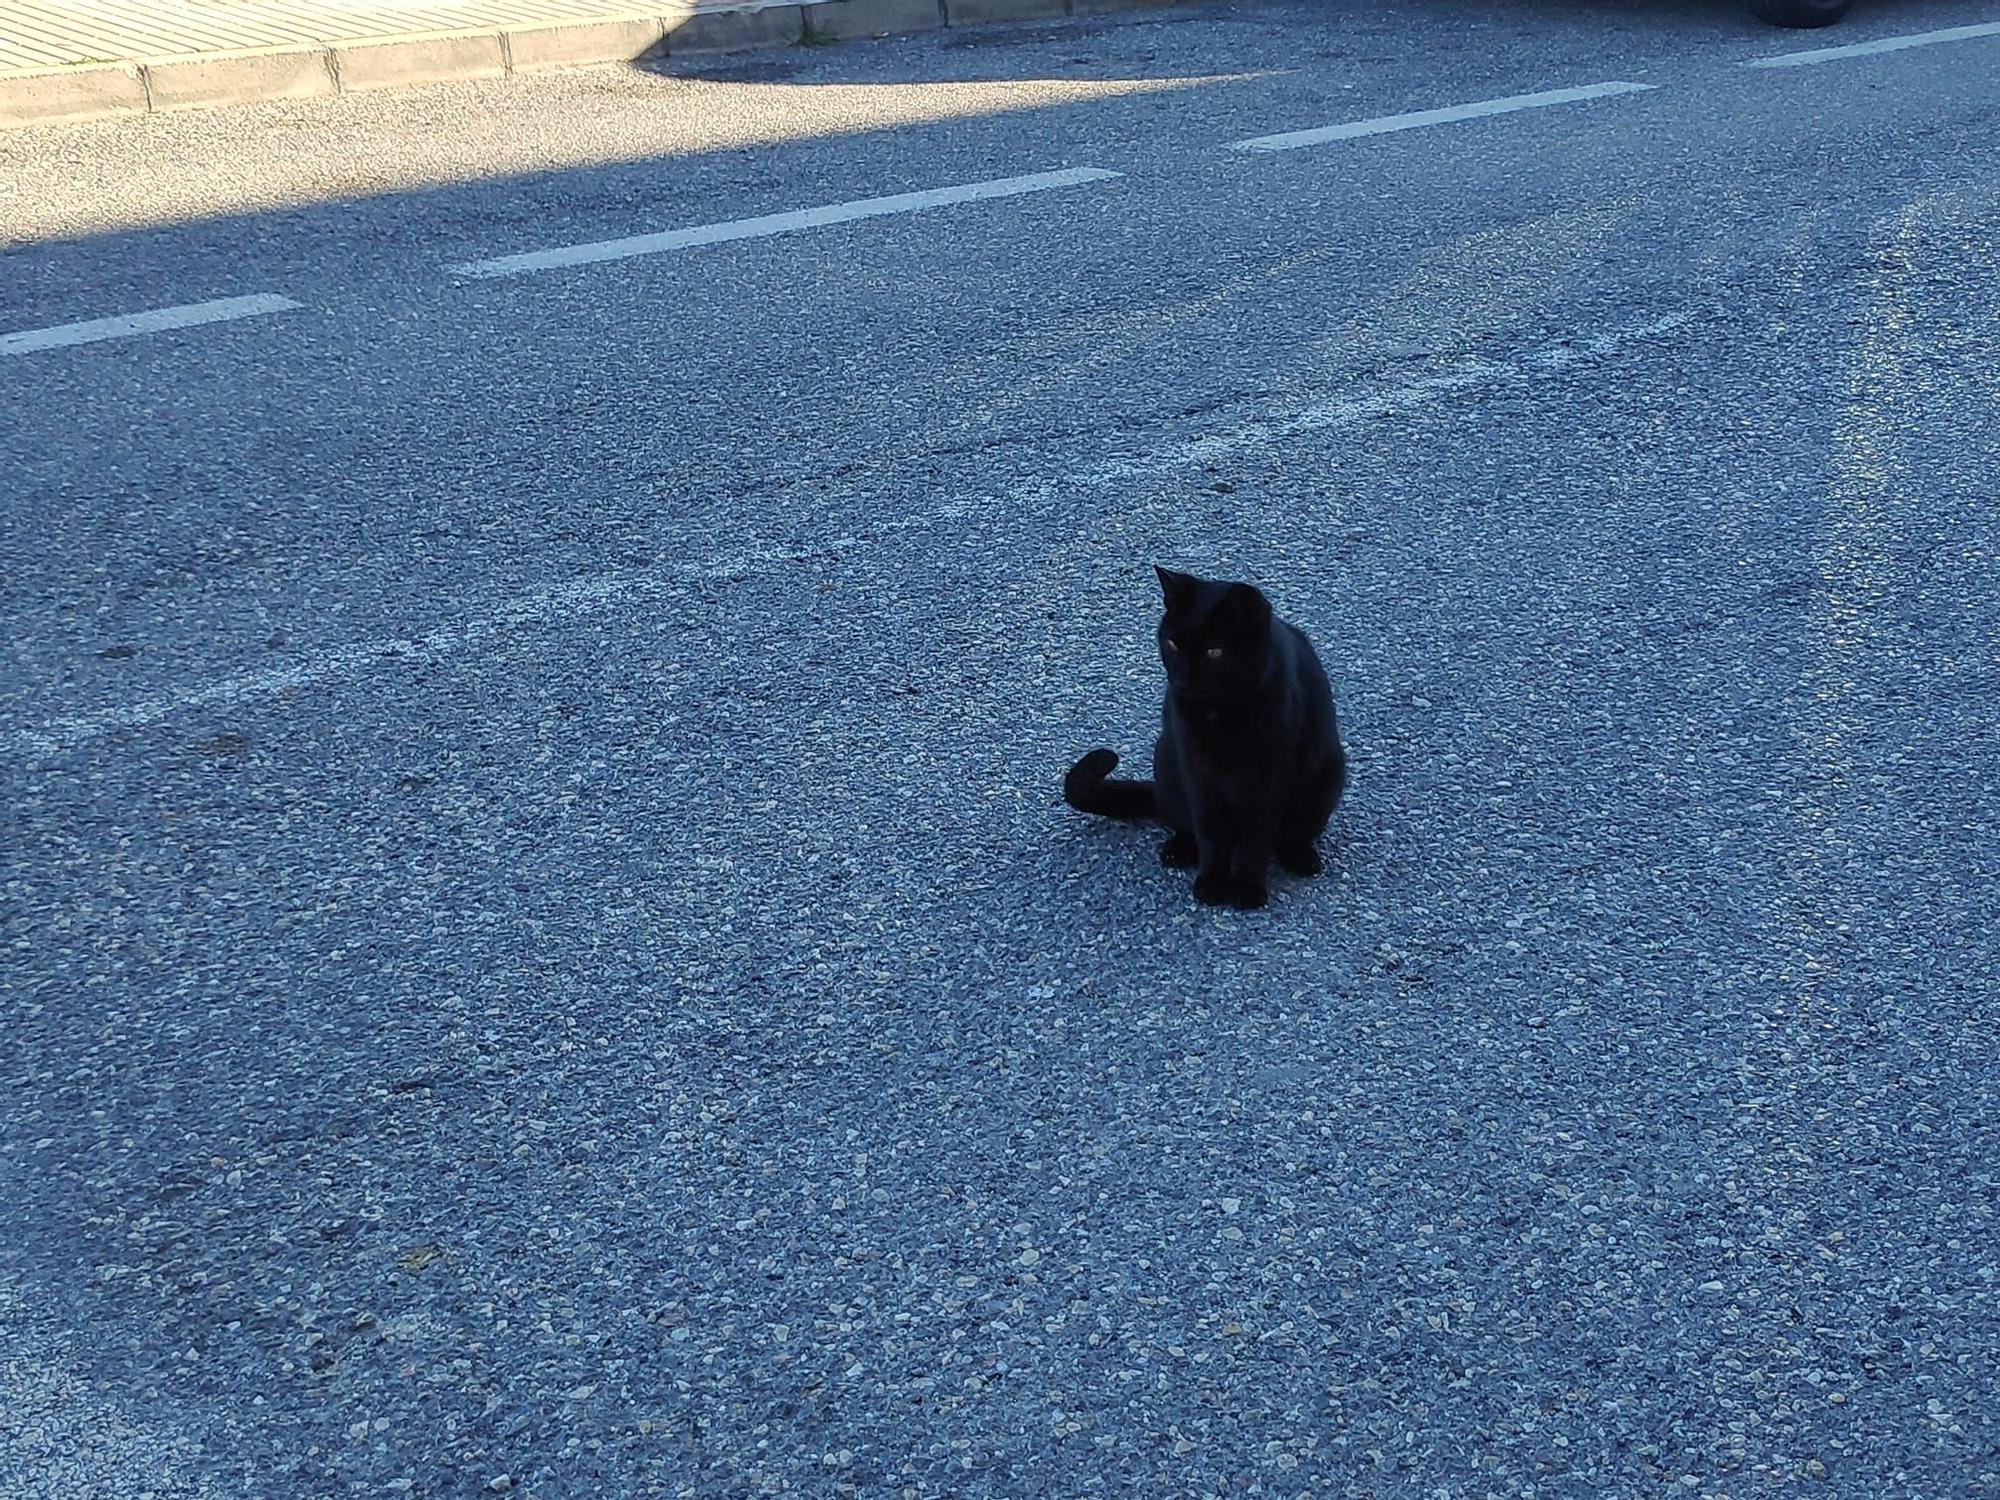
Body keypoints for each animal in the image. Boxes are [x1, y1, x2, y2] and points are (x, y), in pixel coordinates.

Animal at [1064, 568, 1344, 912]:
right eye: (1173, 644)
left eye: (1214, 651)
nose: (1182, 679)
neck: (1220, 712)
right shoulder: (1198, 773)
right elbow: (1210, 830)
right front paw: (1212, 883)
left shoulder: (1270, 779)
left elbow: (1256, 838)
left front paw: (1248, 888)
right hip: (1166, 759)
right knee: (1182, 820)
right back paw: (1179, 849)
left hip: (1328, 777)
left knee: (1292, 834)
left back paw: (1301, 858)